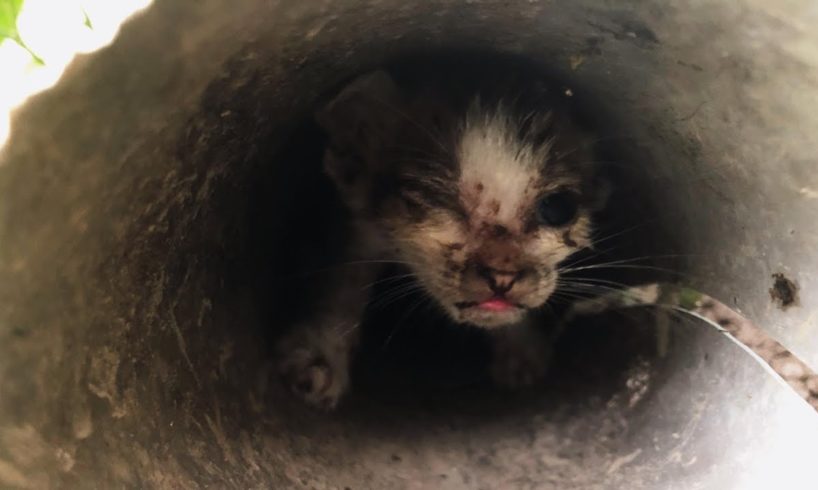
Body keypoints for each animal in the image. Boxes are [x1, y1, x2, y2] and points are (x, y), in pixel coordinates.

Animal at [274, 67, 604, 408]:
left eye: (558, 208)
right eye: (432, 200)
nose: (502, 277)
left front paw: (521, 351)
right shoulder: (359, 228)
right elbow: (342, 283)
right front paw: (319, 358)